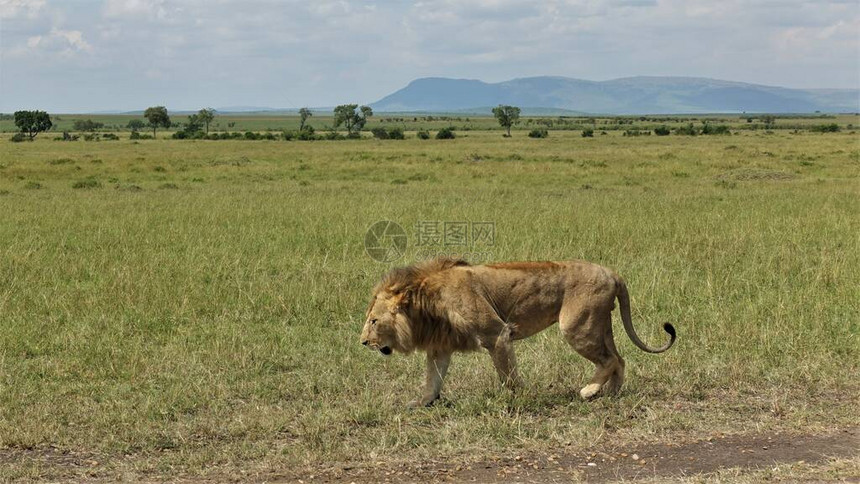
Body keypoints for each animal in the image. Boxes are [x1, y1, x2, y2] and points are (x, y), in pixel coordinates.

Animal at [360, 260, 676, 406]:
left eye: (374, 321)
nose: (362, 342)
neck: (427, 302)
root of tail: (612, 273)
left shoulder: (497, 333)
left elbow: (507, 374)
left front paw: (517, 399)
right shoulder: (441, 346)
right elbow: (432, 379)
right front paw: (422, 403)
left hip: (576, 325)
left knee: (609, 360)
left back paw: (589, 390)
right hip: (600, 325)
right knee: (619, 359)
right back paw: (610, 393)